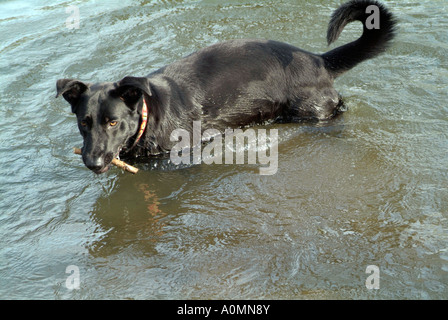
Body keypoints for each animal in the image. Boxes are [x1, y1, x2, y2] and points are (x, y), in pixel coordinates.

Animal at [56, 0, 396, 174]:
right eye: (83, 123)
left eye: (113, 122)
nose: (92, 162)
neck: (150, 114)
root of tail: (319, 60)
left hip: (311, 111)